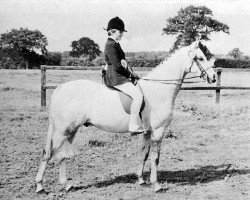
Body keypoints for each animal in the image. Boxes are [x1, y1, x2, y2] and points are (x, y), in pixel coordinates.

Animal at [35, 39, 217, 193]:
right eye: (201, 58)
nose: (214, 77)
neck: (158, 88)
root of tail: (59, 89)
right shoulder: (158, 131)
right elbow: (155, 158)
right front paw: (156, 185)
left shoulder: (148, 132)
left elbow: (144, 153)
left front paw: (141, 180)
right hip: (63, 130)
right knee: (54, 154)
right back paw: (49, 186)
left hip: (70, 131)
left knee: (55, 154)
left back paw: (55, 185)